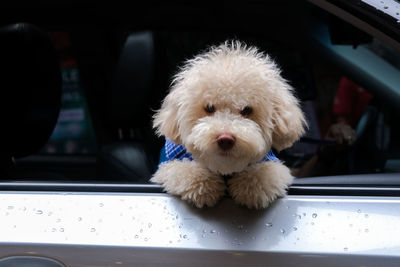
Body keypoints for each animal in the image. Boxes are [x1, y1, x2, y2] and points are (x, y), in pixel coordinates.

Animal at [151, 41, 306, 209]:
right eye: (209, 108)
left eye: (247, 110)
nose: (225, 139)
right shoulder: (168, 164)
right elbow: (183, 169)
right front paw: (204, 185)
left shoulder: (273, 164)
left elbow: (263, 174)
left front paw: (249, 188)